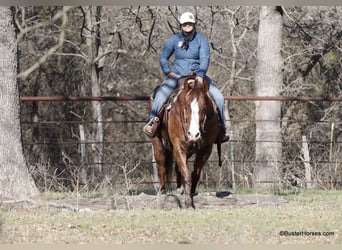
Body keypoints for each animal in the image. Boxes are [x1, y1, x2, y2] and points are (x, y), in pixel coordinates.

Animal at [150, 75, 222, 208]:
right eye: (186, 107)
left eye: (204, 108)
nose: (193, 134)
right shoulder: (178, 146)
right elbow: (187, 174)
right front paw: (188, 203)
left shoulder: (206, 149)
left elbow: (195, 174)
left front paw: (191, 193)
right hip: (157, 142)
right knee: (161, 164)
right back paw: (162, 191)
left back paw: (180, 189)